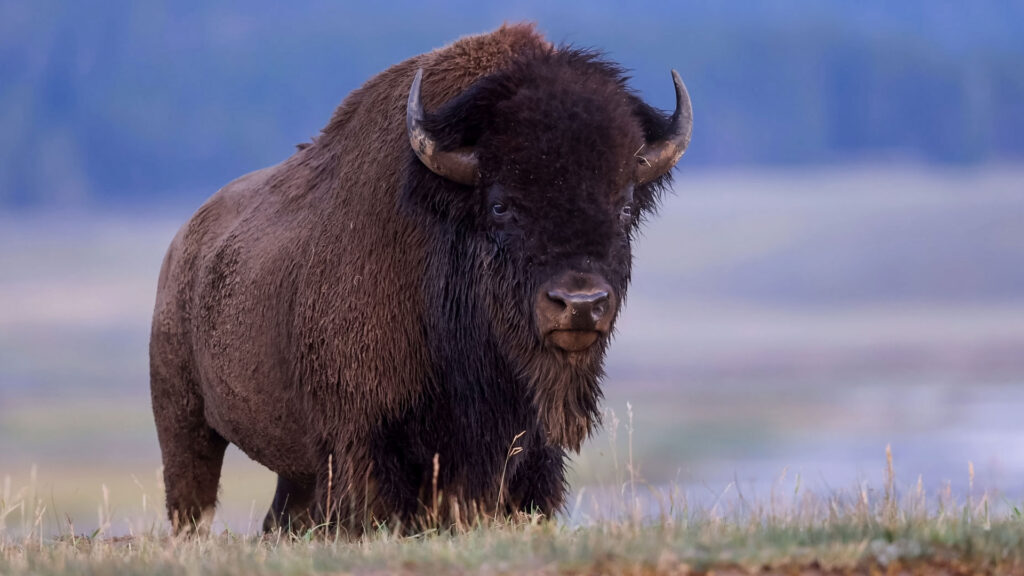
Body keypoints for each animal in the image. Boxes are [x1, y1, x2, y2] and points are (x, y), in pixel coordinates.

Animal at [149, 23, 691, 534]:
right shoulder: (365, 447)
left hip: (293, 472)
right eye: (500, 205)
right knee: (191, 500)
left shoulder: (529, 456)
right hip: (184, 422)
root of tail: (181, 245)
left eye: (625, 207)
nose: (579, 303)